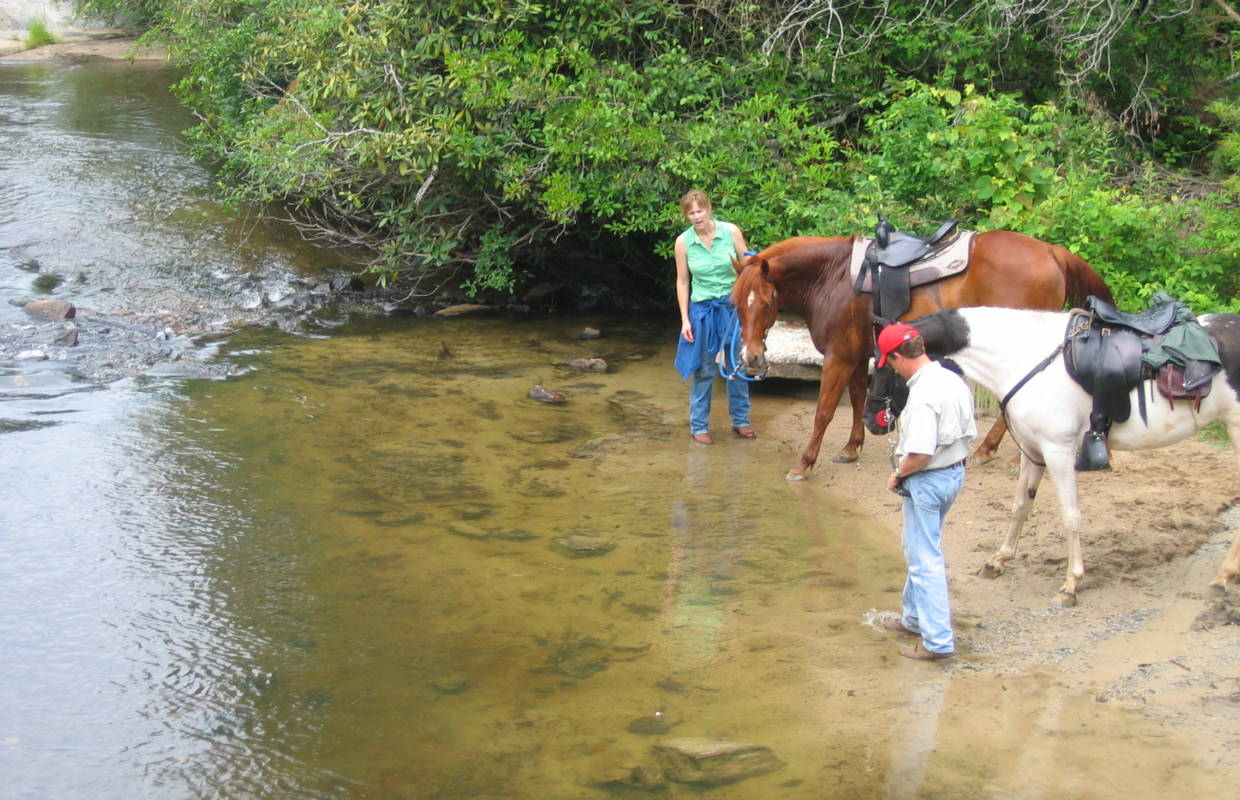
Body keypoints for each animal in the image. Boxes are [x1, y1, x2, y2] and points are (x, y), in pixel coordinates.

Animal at [729, 230, 1120, 481]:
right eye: (735, 303)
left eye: (767, 302)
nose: (751, 358)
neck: (833, 279)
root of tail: (1052, 251)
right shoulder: (856, 354)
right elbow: (856, 400)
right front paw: (852, 447)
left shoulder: (839, 357)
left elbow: (823, 411)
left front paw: (804, 463)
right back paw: (989, 450)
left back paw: (1002, 453)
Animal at [858, 306, 1240, 605]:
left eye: (885, 367)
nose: (871, 419)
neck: (1023, 357)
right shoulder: (1032, 451)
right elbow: (1020, 506)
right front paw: (999, 560)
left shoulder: (1058, 452)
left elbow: (1070, 517)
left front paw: (1071, 583)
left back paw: (1222, 577)